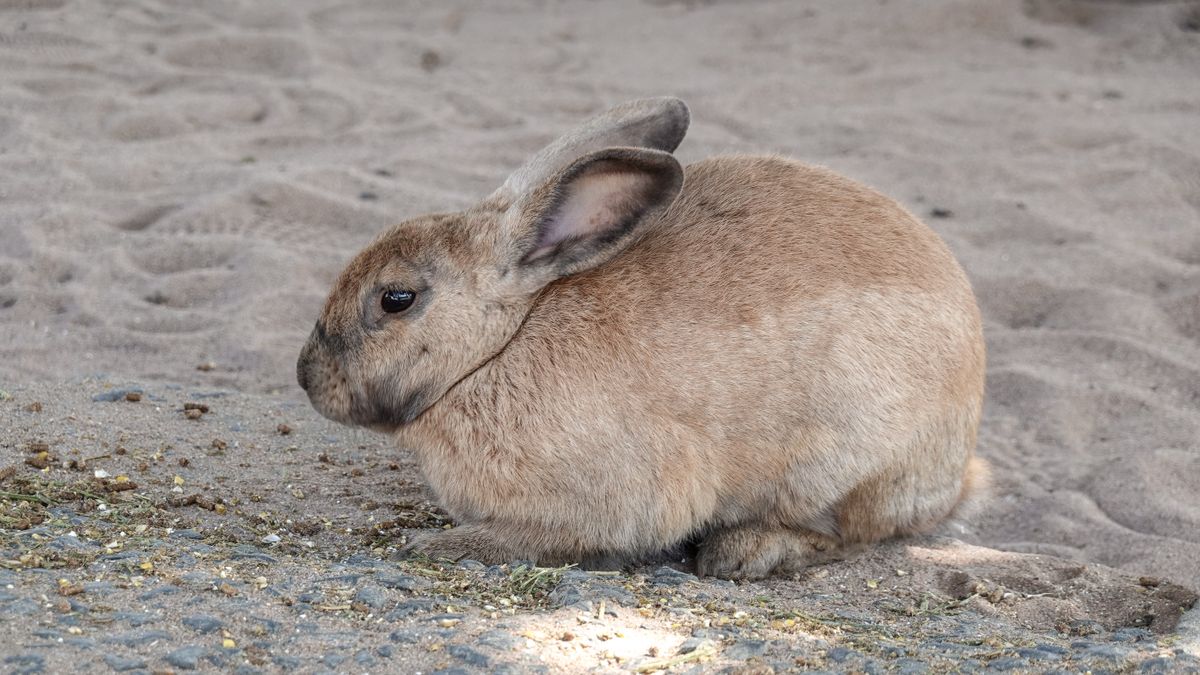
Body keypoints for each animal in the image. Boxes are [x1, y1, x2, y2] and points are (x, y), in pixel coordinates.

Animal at [297, 96, 987, 580]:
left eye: (396, 299)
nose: (306, 377)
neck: (499, 347)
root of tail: (960, 462)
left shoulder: (611, 503)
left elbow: (538, 540)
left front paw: (436, 545)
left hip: (840, 461)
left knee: (853, 532)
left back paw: (743, 553)